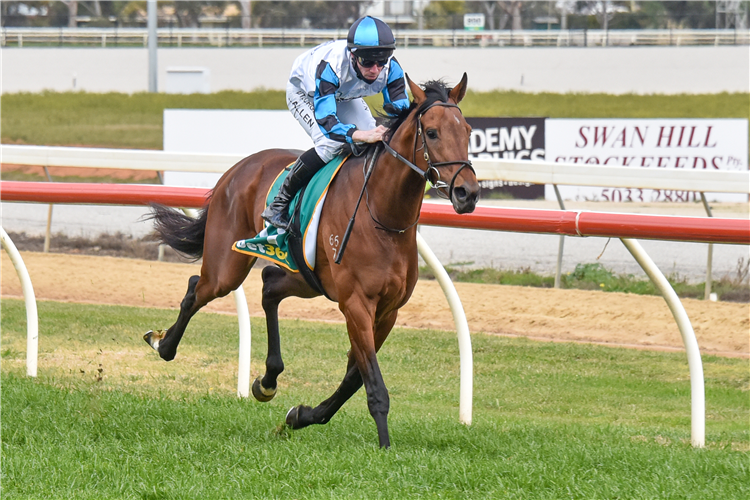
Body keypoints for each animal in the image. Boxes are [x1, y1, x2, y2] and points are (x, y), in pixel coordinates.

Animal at [145, 75, 482, 450]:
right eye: (433, 133)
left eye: (468, 131)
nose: (468, 193)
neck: (383, 215)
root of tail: (237, 168)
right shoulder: (355, 304)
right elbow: (373, 382)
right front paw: (384, 445)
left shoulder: (388, 310)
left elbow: (354, 377)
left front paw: (302, 416)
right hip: (227, 266)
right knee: (198, 289)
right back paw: (163, 344)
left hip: (307, 278)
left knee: (269, 285)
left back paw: (268, 380)